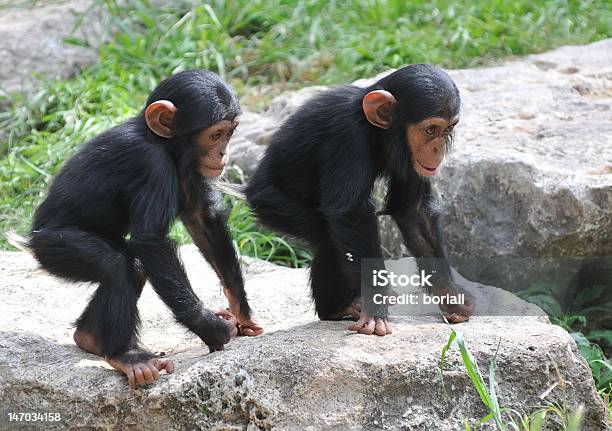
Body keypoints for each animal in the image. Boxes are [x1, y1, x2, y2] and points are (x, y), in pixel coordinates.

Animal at [27, 70, 262, 388]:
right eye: (215, 134)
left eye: (230, 132)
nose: (223, 153)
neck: (164, 143)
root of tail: (31, 239)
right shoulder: (151, 163)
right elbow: (151, 240)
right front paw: (212, 328)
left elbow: (201, 218)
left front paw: (240, 309)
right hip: (54, 247)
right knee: (115, 265)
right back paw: (125, 356)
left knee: (134, 268)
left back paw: (90, 338)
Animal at [246, 64, 476, 336]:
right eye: (431, 130)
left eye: (448, 128)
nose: (437, 149)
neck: (376, 131)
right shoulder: (347, 135)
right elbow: (350, 212)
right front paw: (375, 310)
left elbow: (414, 211)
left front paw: (449, 295)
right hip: (272, 203)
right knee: (328, 240)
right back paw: (336, 308)